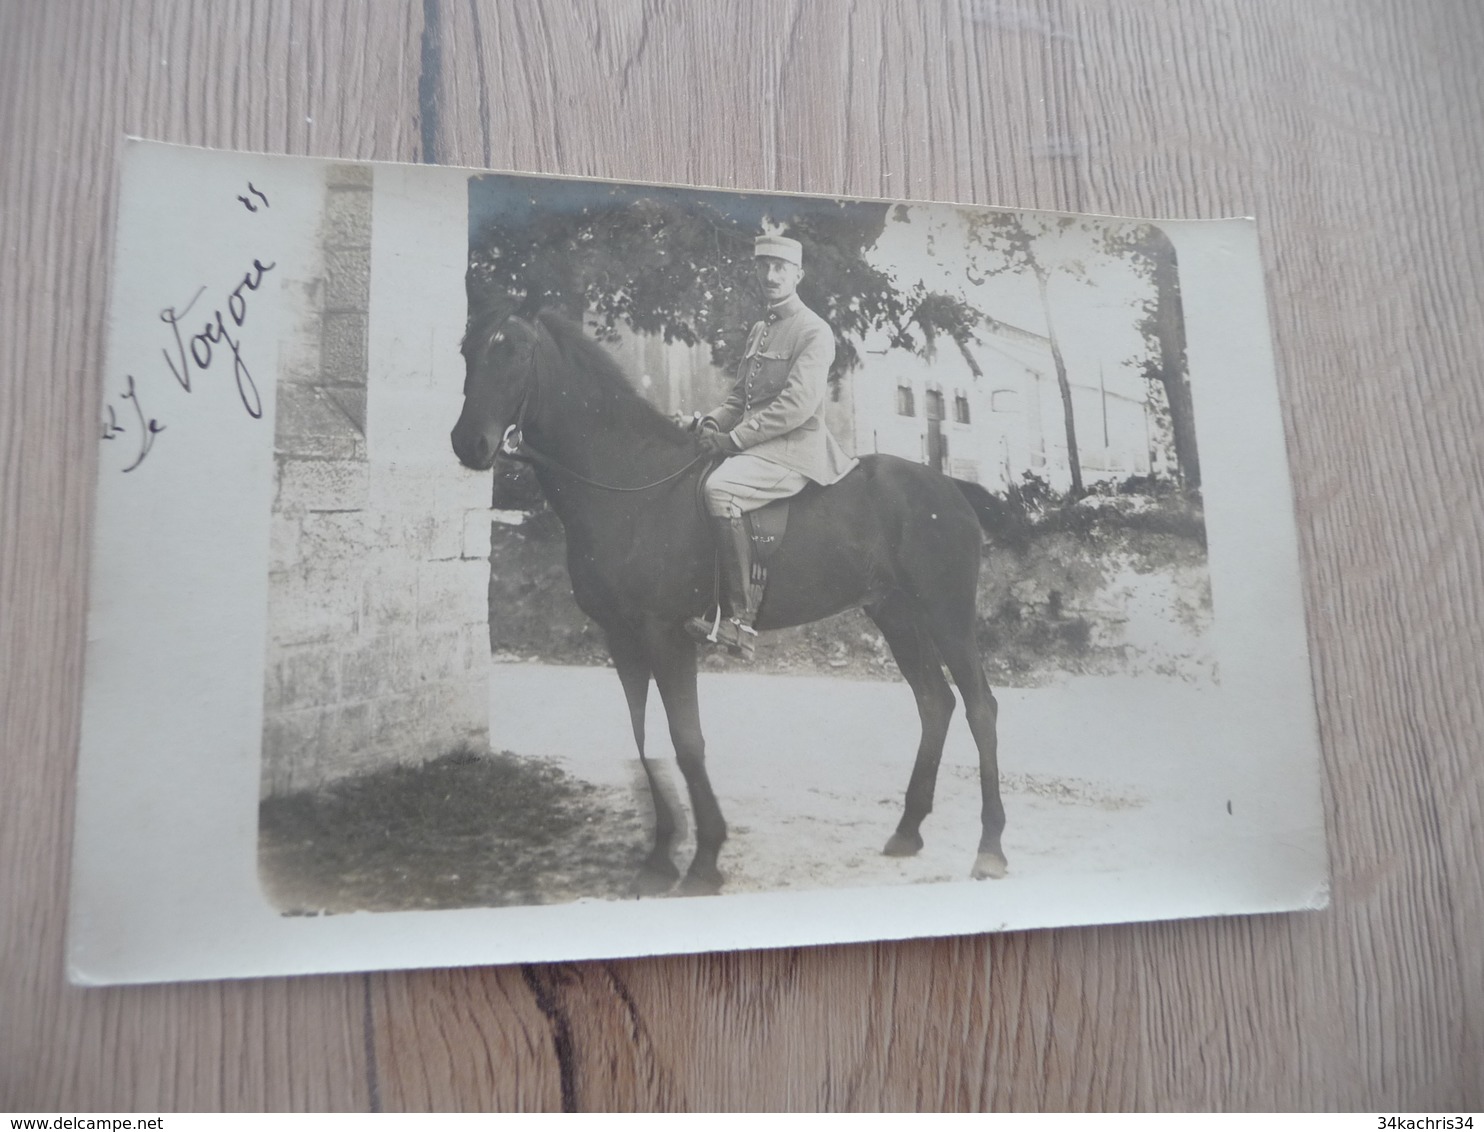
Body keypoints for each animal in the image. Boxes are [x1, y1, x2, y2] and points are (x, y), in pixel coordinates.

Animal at [451, 307, 1009, 896]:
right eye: (468, 351)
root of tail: (950, 489)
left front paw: (704, 860)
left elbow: (685, 739)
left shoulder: (665, 635)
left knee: (980, 708)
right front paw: (659, 859)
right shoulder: (621, 638)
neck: (632, 481)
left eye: (514, 352)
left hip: (947, 616)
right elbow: (645, 737)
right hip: (897, 615)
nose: (468, 443)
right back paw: (908, 830)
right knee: (935, 703)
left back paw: (990, 849)